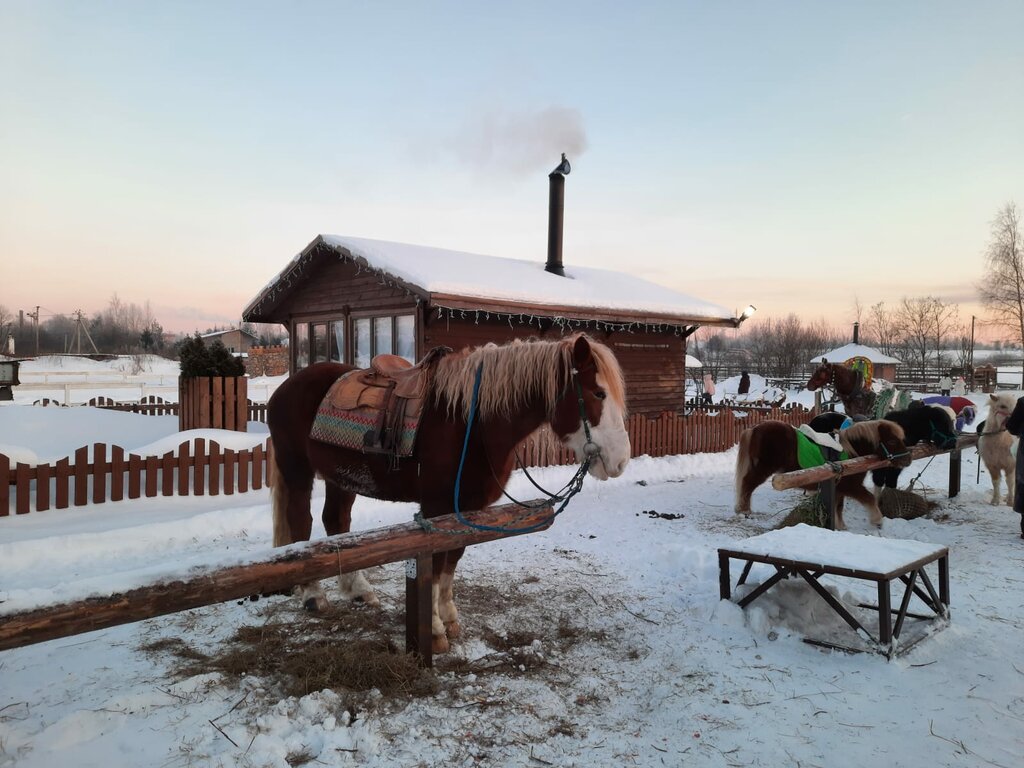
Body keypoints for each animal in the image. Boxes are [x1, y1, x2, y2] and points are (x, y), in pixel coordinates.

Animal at [264, 333, 630, 651]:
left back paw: (358, 591)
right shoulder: (437, 507)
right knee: (301, 523)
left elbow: (452, 562)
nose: (620, 461)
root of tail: (286, 387)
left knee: (336, 523)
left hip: (342, 479)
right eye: (598, 393)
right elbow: (436, 565)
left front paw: (450, 618)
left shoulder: (465, 508)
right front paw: (436, 631)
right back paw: (313, 595)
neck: (471, 422)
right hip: (297, 470)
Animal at [737, 417, 913, 532]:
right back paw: (744, 510)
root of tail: (754, 428)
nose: (908, 459)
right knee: (747, 484)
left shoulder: (839, 488)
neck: (852, 453)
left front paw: (841, 526)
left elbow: (838, 507)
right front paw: (877, 521)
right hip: (763, 469)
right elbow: (869, 498)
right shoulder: (852, 487)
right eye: (892, 441)